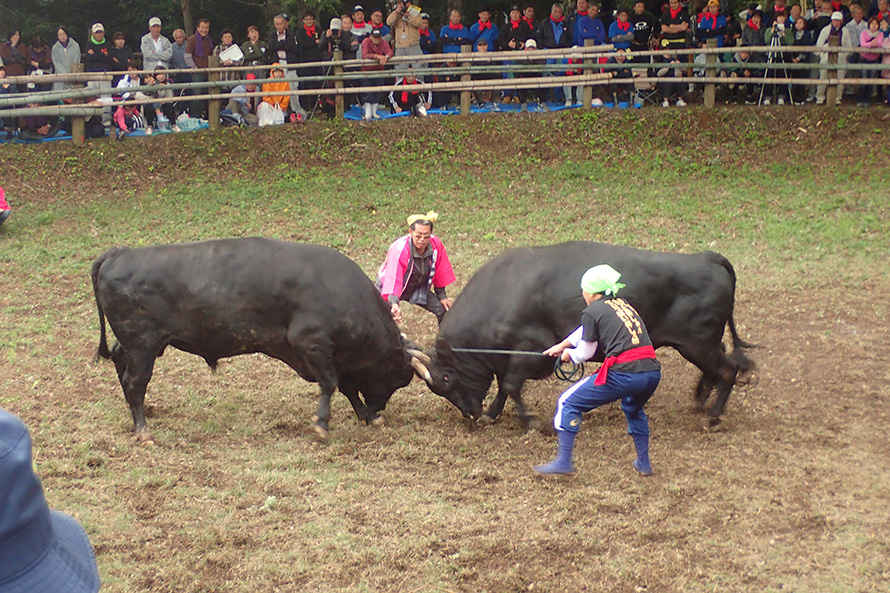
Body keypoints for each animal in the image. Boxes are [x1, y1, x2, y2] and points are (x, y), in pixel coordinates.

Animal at [91, 238, 426, 442]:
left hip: (139, 344)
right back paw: (143, 430)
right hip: (143, 344)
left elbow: (346, 387)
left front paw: (366, 415)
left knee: (121, 365)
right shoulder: (312, 343)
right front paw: (323, 424)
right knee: (135, 381)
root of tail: (118, 253)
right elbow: (331, 384)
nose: (380, 407)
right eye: (399, 377)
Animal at [420, 239, 752, 426]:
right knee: (719, 365)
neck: (502, 292)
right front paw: (492, 413)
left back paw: (714, 416)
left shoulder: (531, 351)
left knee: (728, 369)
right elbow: (505, 386)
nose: (469, 414)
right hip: (705, 343)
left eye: (446, 378)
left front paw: (530, 420)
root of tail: (706, 257)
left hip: (698, 343)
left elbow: (511, 385)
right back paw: (701, 400)